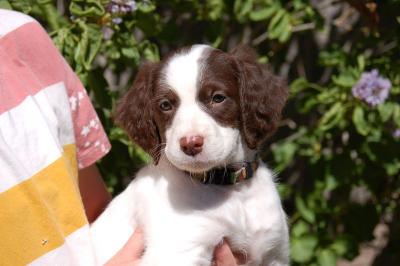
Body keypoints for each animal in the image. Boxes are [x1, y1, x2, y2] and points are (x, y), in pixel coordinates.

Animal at [90, 45, 290, 266]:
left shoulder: (274, 253)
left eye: (218, 98)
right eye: (165, 105)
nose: (190, 144)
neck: (231, 189)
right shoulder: (178, 252)